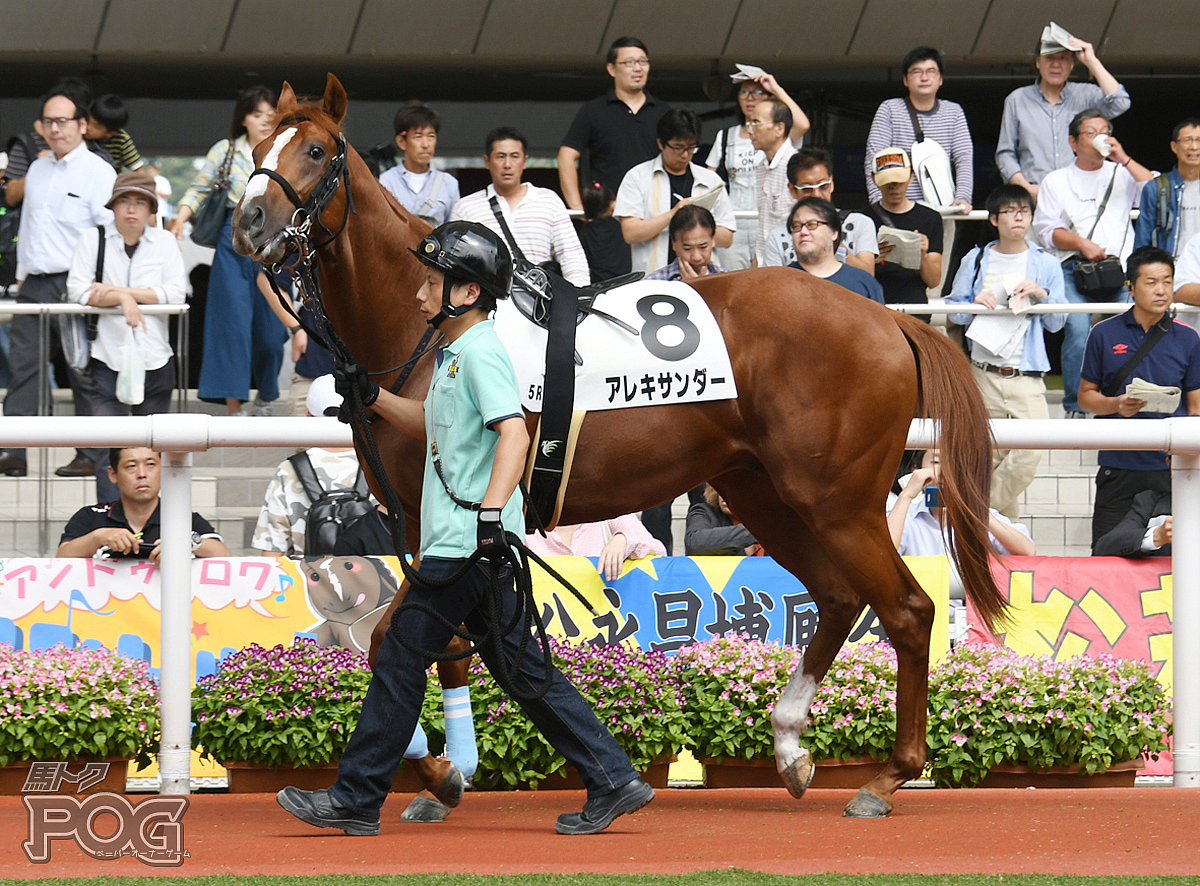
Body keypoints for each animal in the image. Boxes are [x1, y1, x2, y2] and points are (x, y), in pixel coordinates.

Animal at [231, 75, 1003, 816]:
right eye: (260, 145)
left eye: (316, 150)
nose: (248, 222)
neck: (427, 328)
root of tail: (888, 320)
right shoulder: (436, 525)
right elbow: (439, 647)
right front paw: (447, 774)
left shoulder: (446, 520)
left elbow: (396, 642)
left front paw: (436, 771)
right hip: (767, 493)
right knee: (840, 597)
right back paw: (790, 748)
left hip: (838, 501)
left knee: (907, 611)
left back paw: (887, 778)